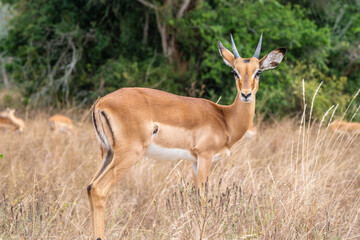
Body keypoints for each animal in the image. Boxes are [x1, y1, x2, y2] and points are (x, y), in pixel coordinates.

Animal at [86, 33, 286, 238]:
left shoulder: (194, 161)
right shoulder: (205, 156)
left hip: (108, 154)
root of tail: (100, 103)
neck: (224, 117)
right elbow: (204, 201)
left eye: (258, 72)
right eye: (234, 72)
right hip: (128, 154)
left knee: (89, 187)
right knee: (98, 189)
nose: (246, 94)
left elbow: (196, 200)